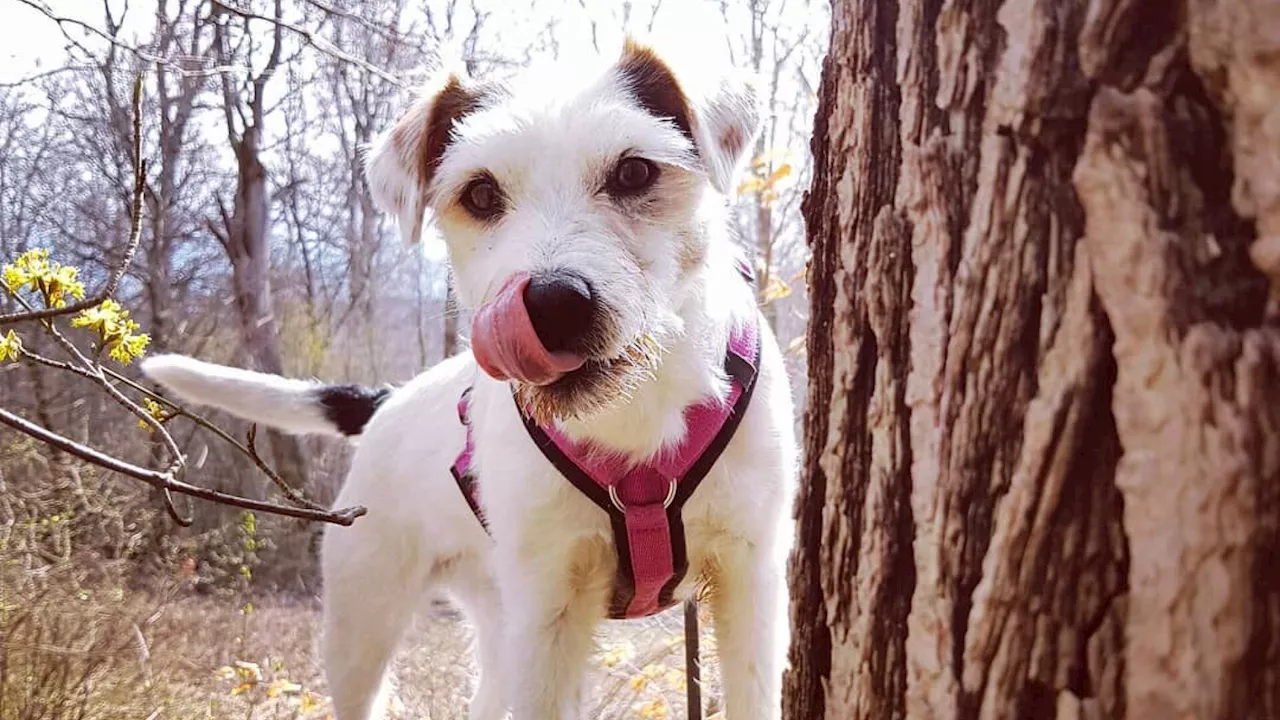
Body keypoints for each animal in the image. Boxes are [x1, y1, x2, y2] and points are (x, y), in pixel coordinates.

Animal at [142, 36, 798, 712]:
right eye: (480, 195)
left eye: (635, 171)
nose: (553, 305)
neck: (633, 413)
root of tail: (384, 402)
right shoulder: (550, 608)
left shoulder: (752, 582)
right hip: (366, 625)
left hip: (495, 626)